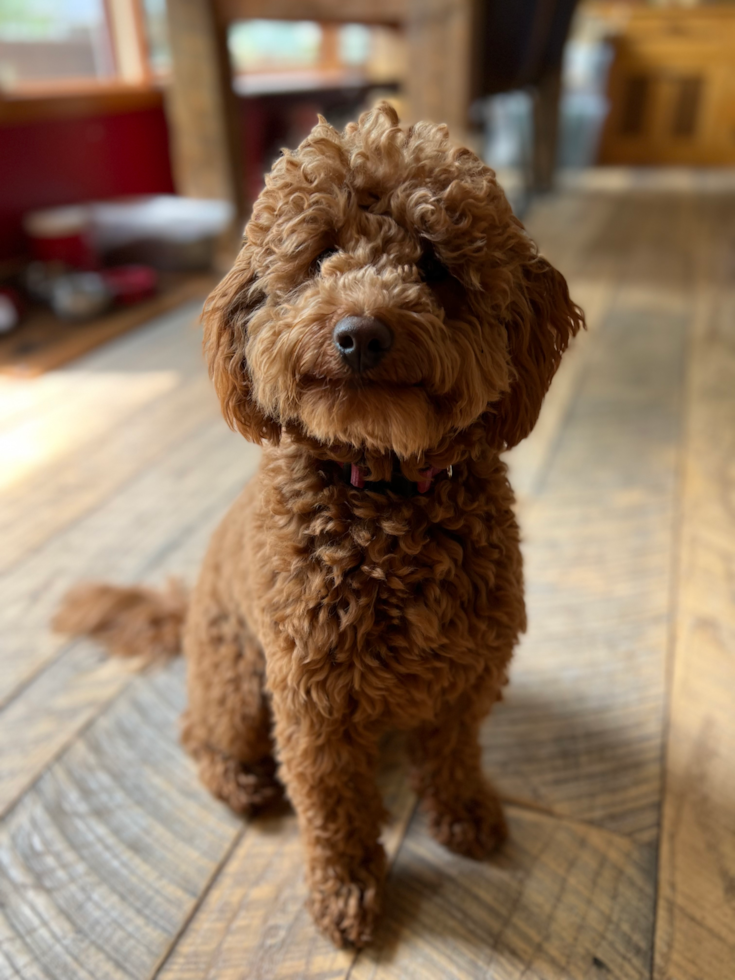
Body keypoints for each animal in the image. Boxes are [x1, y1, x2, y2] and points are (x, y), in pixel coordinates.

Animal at [54, 101, 584, 948]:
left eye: (433, 264)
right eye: (321, 255)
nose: (360, 333)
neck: (385, 493)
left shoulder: (467, 673)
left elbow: (454, 754)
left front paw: (464, 814)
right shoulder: (313, 701)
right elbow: (333, 805)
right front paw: (346, 891)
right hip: (237, 678)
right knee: (200, 733)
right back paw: (241, 781)